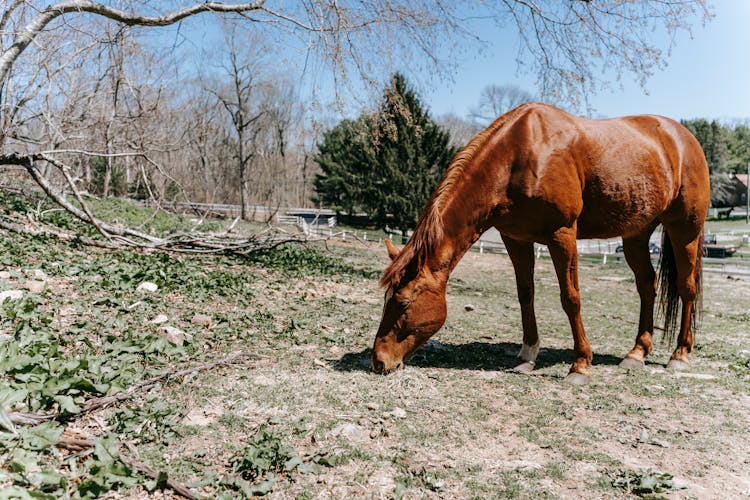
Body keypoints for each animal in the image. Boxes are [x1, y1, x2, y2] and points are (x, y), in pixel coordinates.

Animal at [376, 101, 712, 382]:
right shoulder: (515, 238)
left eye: (403, 302)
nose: (379, 361)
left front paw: (580, 364)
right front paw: (527, 355)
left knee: (686, 287)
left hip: (685, 230)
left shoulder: (562, 234)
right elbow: (526, 294)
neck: (520, 154)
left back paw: (680, 354)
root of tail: (684, 138)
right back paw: (637, 352)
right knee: (647, 285)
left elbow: (570, 298)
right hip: (636, 235)